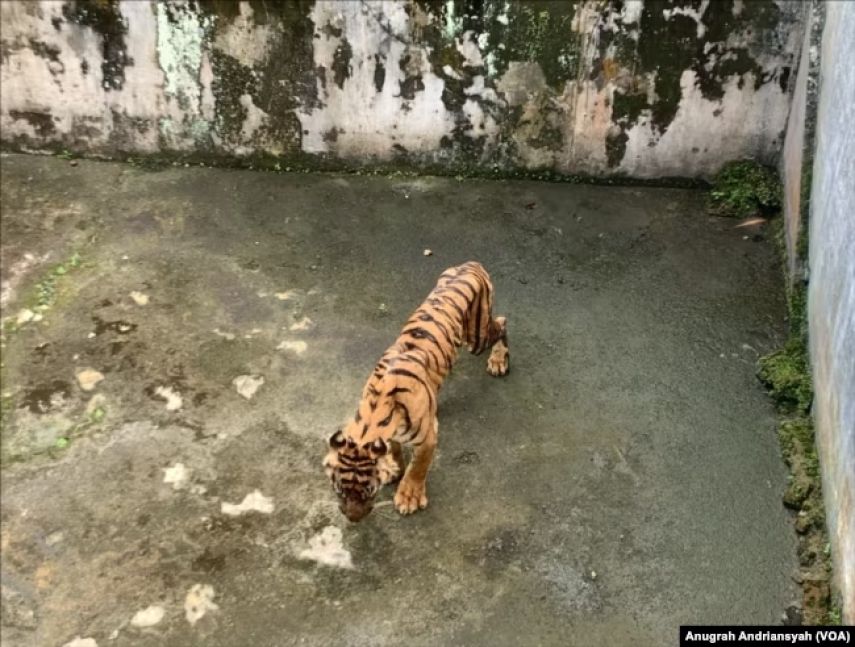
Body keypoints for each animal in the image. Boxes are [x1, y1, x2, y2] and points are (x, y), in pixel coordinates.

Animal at [322, 260, 508, 520]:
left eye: (370, 491)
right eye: (338, 489)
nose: (353, 518)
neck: (375, 410)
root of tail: (470, 263)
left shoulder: (428, 436)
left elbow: (418, 467)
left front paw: (408, 497)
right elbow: (394, 448)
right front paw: (393, 468)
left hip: (477, 336)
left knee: (501, 323)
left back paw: (499, 361)